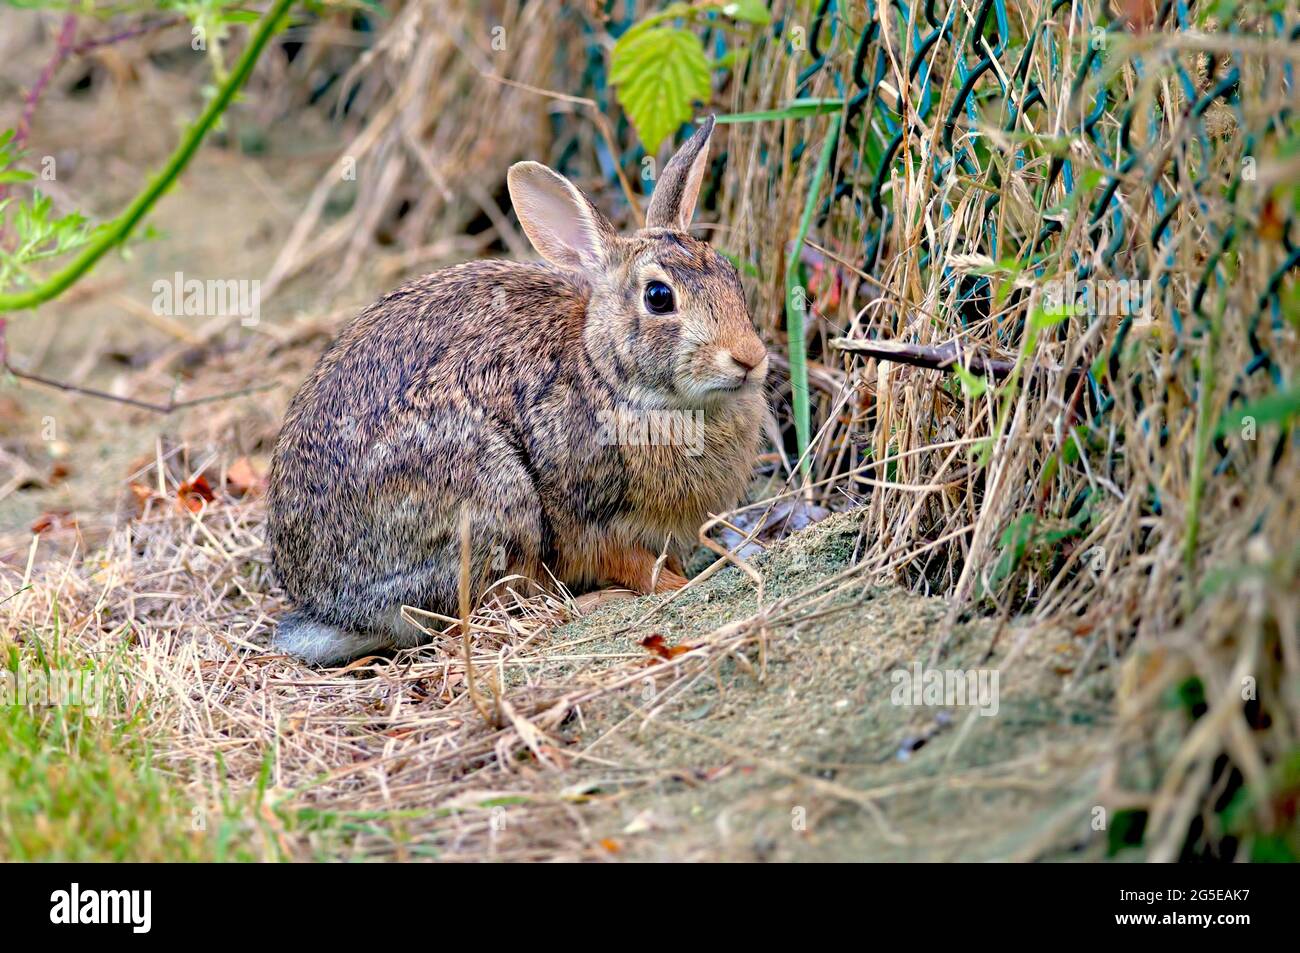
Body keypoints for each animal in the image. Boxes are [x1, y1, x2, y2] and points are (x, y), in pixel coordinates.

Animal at [267, 117, 764, 660]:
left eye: (732, 275)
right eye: (658, 297)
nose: (750, 358)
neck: (608, 373)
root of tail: (335, 609)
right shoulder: (585, 515)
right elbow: (626, 559)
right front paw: (675, 586)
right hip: (491, 498)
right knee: (471, 615)